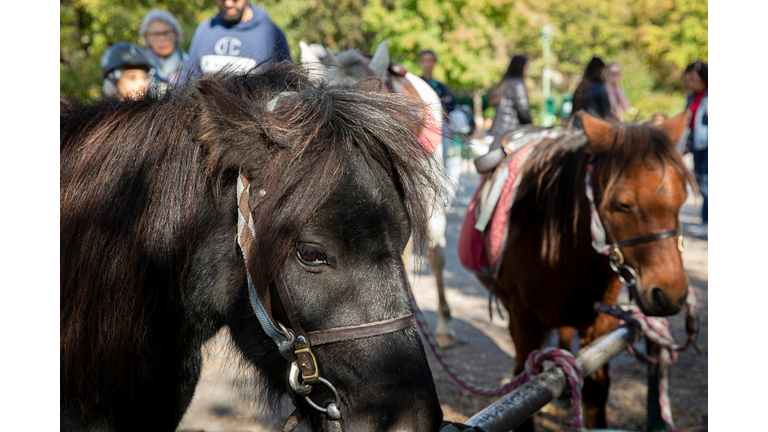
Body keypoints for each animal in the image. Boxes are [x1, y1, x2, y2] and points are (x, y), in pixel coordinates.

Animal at [480, 113, 688, 430]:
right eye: (622, 205)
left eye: (682, 199)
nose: (670, 294)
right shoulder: (522, 321)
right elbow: (521, 389)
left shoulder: (599, 323)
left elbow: (595, 391)